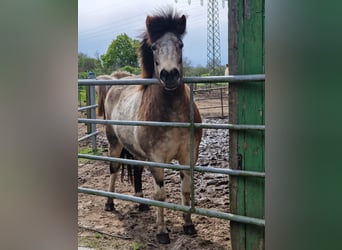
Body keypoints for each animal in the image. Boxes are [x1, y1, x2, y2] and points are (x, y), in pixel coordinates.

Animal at [103, 9, 202, 244]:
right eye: (154, 47)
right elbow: (161, 195)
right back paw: (109, 203)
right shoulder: (157, 159)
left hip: (136, 151)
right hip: (114, 143)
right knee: (113, 169)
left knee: (137, 171)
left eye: (180, 45)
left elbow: (185, 190)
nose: (170, 75)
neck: (172, 115)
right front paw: (162, 232)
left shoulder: (188, 156)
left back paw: (141, 204)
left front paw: (188, 225)